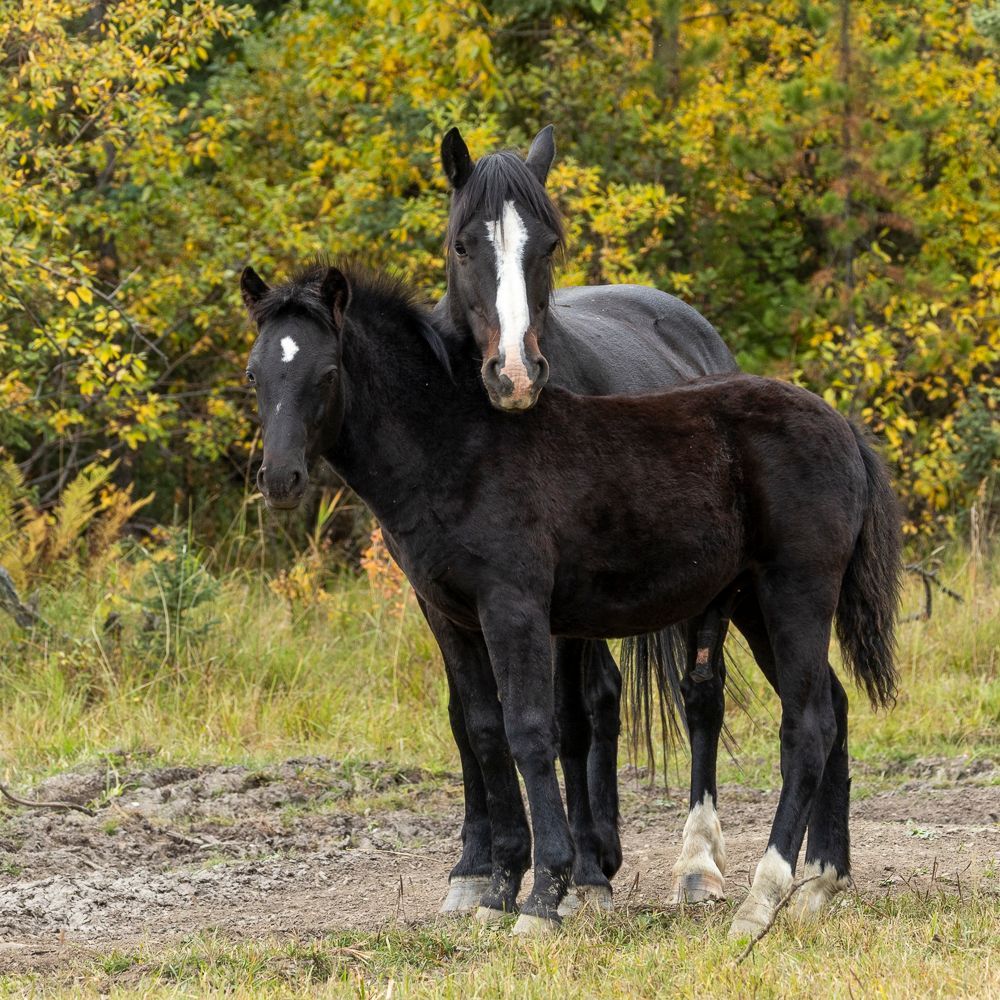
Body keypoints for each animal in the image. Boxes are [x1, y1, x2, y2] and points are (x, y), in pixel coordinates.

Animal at [240, 261, 901, 938]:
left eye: (326, 372)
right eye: (254, 373)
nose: (280, 479)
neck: (458, 449)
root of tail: (842, 427)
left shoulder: (515, 608)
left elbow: (533, 731)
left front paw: (544, 896)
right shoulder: (452, 617)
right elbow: (483, 730)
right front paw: (497, 887)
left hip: (795, 591)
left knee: (807, 725)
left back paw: (761, 899)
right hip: (752, 605)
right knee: (834, 708)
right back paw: (821, 883)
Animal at [435, 125, 746, 908]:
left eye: (548, 245)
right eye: (463, 245)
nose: (515, 376)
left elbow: (560, 722)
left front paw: (569, 878)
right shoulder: (441, 598)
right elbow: (469, 720)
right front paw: (475, 868)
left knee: (694, 699)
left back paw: (681, 865)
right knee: (606, 696)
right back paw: (601, 850)